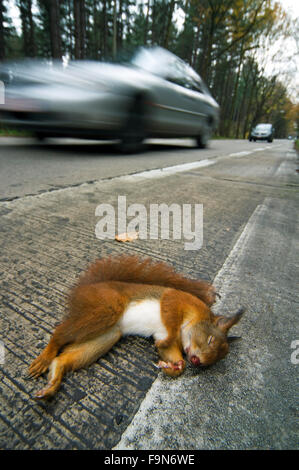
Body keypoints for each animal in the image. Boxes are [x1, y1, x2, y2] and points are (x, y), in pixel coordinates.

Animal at [28, 255, 245, 398]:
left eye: (214, 361)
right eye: (210, 339)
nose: (197, 361)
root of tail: (88, 288)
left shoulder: (167, 339)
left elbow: (170, 353)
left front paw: (173, 365)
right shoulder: (175, 300)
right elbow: (170, 320)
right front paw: (171, 348)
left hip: (106, 336)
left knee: (64, 359)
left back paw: (53, 380)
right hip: (107, 307)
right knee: (59, 333)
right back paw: (45, 358)